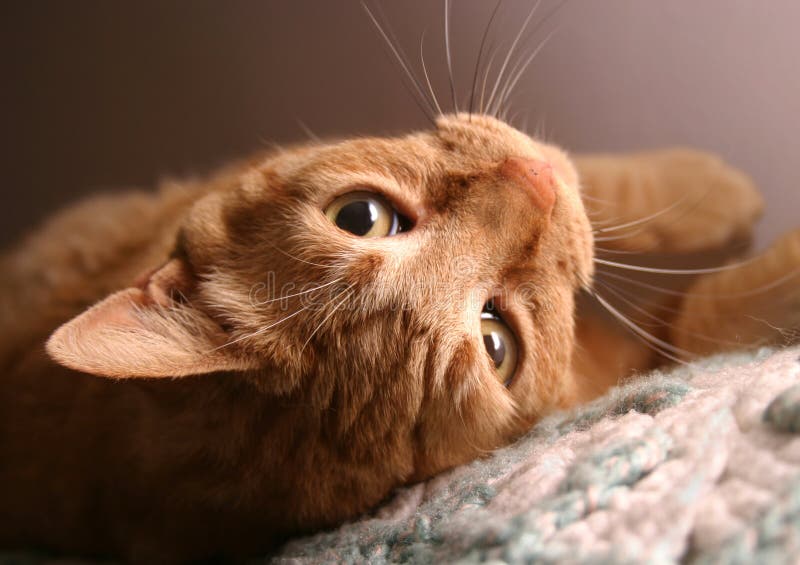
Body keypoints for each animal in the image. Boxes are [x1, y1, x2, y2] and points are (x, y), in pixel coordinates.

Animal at [0, 113, 796, 560]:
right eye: (496, 341)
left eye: (361, 215)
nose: (534, 181)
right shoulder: (635, 355)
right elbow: (702, 314)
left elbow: (599, 177)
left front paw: (700, 186)